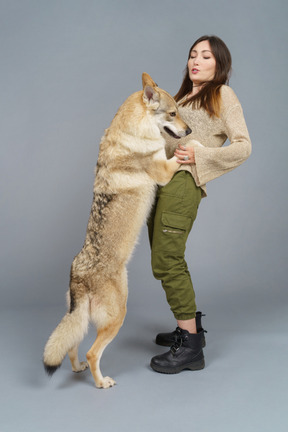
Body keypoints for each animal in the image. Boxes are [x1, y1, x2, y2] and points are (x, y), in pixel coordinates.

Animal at [42, 73, 191, 388]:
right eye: (173, 114)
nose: (190, 129)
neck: (133, 132)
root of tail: (79, 272)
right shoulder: (164, 171)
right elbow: (180, 155)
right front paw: (193, 145)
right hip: (117, 316)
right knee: (92, 352)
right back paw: (101, 382)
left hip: (81, 320)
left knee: (71, 346)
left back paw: (77, 369)